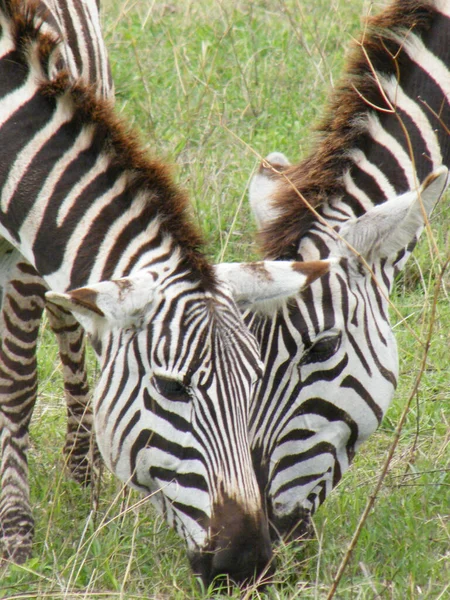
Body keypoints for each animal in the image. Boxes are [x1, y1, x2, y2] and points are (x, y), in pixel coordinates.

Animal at [0, 0, 334, 584]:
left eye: (255, 385)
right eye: (171, 387)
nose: (247, 563)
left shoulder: (25, 249)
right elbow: (17, 387)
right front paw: (16, 534)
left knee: (66, 317)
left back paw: (83, 469)